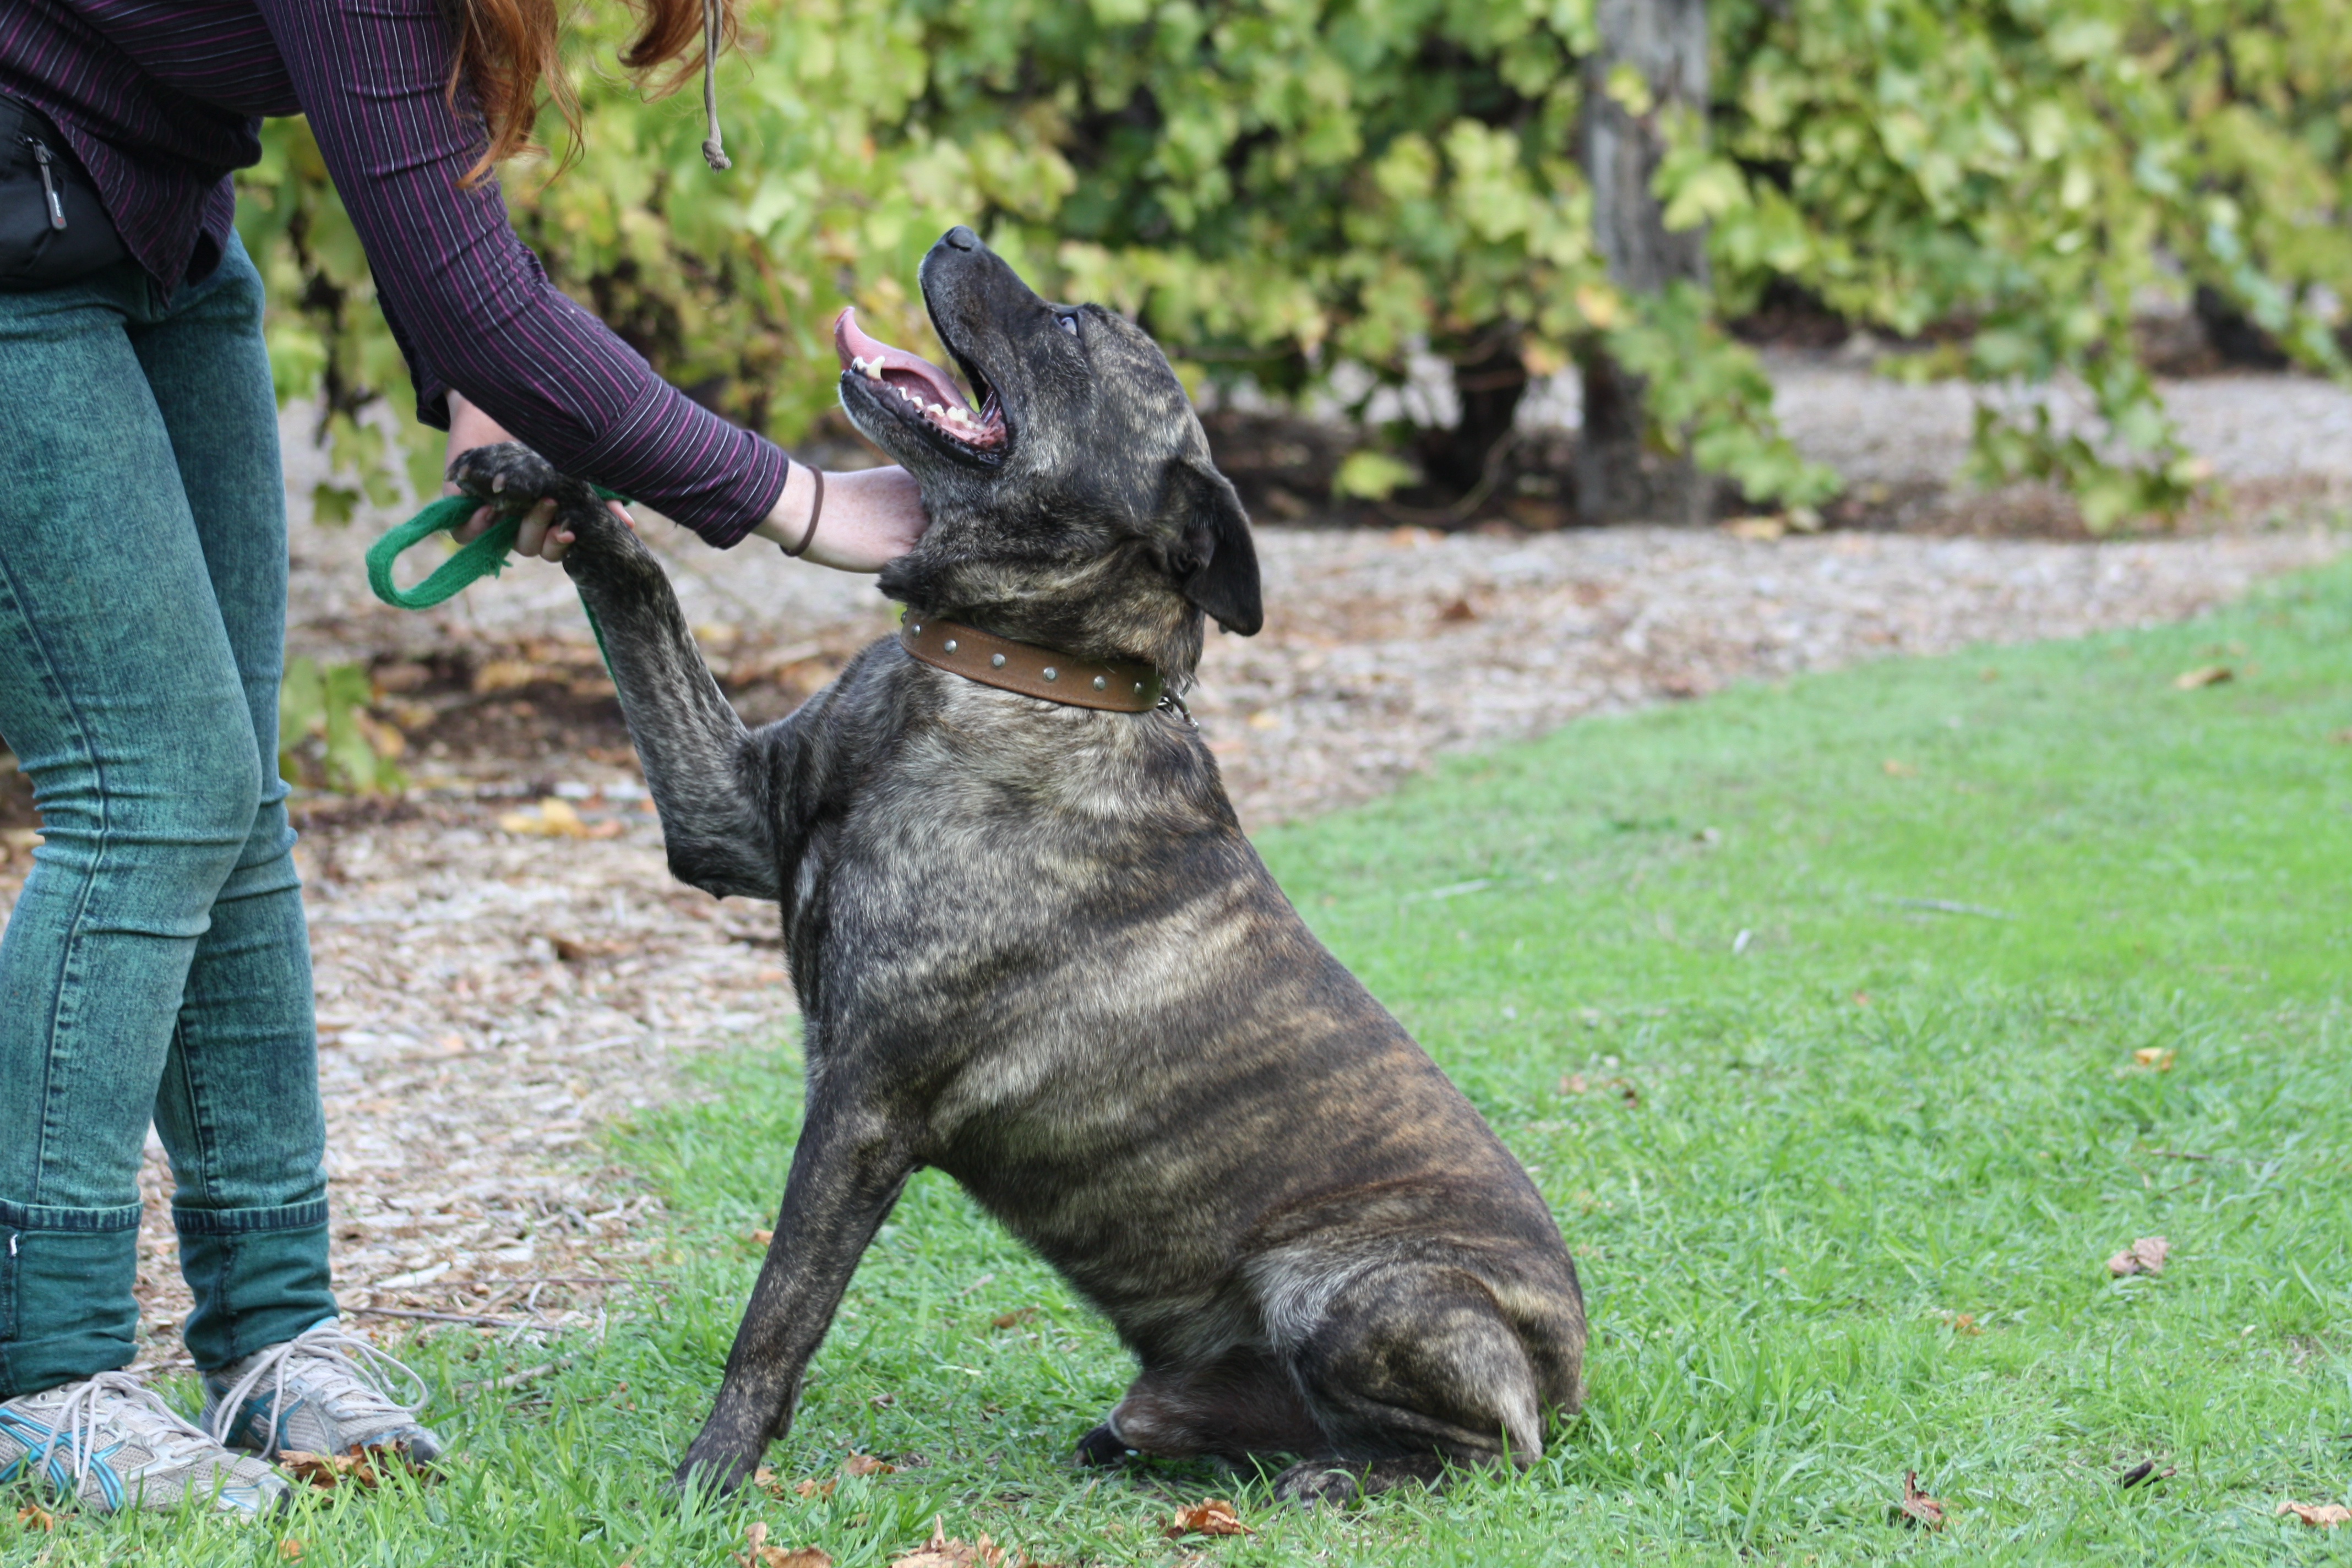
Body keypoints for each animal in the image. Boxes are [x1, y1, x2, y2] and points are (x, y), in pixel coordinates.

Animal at [444, 227, 1580, 1504]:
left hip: (1364, 1290)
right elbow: (641, 590)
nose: (955, 236)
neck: (1012, 672)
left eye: (1077, 326)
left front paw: (713, 1471)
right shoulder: (721, 810)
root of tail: (1572, 1368)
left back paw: (1343, 1476)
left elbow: (780, 1309)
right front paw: (543, 476)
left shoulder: (865, 1099)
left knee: (1495, 1448)